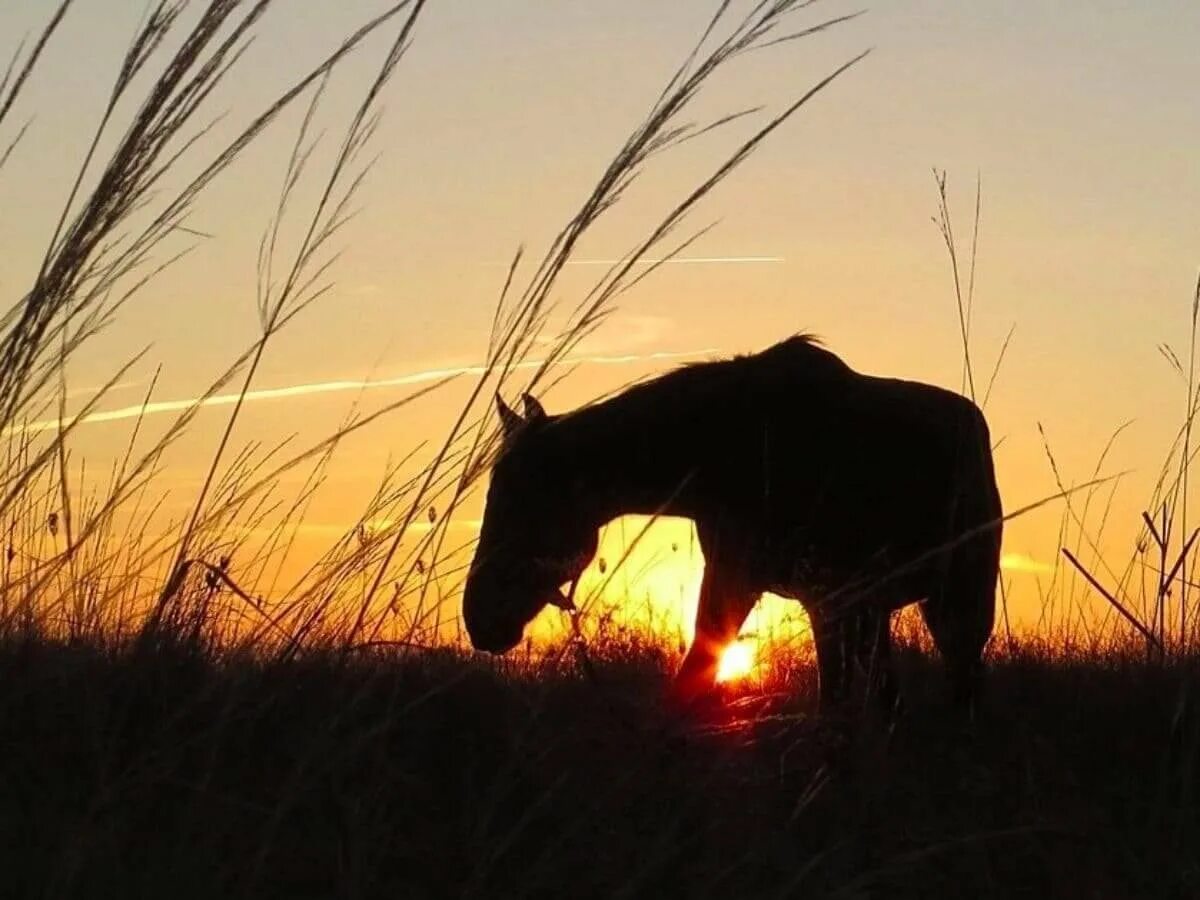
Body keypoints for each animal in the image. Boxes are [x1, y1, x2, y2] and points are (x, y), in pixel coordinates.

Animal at [458, 336, 1003, 715]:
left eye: (522, 503)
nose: (480, 619)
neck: (731, 447)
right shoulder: (773, 587)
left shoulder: (788, 590)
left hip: (956, 599)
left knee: (961, 682)